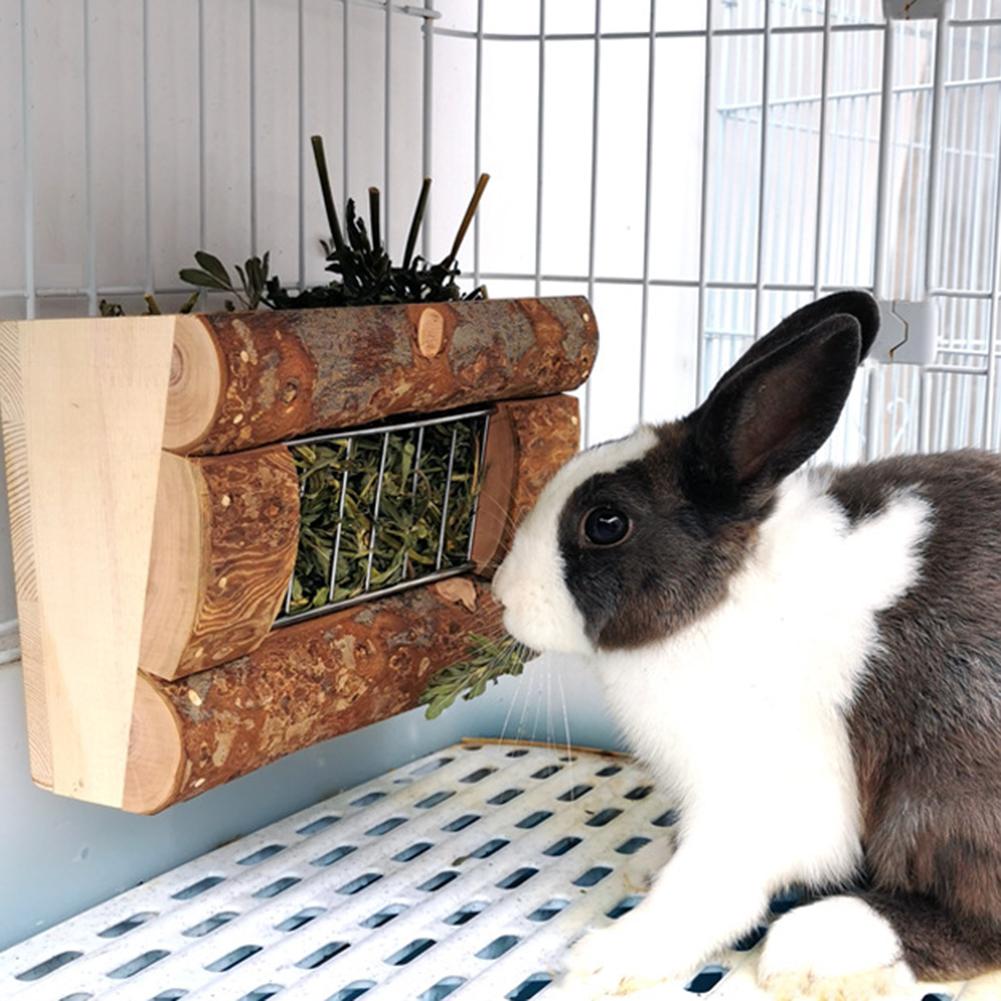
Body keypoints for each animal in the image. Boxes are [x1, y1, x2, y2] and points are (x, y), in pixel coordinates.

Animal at [491, 290, 1001, 1001]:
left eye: (606, 523)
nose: (502, 596)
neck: (724, 596)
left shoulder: (751, 799)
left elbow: (704, 890)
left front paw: (610, 956)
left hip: (945, 785)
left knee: (975, 922)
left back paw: (817, 941)